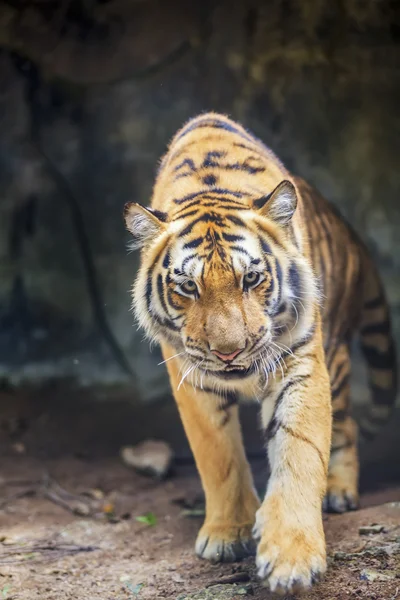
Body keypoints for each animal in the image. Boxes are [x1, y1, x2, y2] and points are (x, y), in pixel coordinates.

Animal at [124, 113, 396, 596]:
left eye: (251, 278)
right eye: (188, 287)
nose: (230, 353)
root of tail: (351, 235)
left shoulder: (302, 362)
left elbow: (300, 451)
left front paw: (291, 558)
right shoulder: (190, 376)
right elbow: (219, 458)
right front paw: (227, 533)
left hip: (338, 358)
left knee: (346, 427)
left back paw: (339, 490)